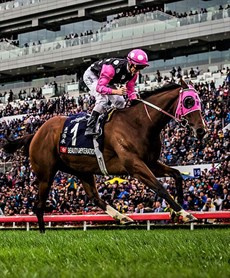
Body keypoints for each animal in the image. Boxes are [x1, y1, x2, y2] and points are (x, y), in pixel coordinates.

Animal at [2, 82, 207, 232]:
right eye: (189, 101)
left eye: (200, 101)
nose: (201, 130)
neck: (139, 123)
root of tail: (36, 133)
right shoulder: (134, 165)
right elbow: (160, 187)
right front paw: (186, 214)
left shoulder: (150, 162)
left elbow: (177, 175)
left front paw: (176, 212)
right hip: (46, 174)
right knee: (38, 205)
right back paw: (43, 232)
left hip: (82, 170)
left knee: (94, 197)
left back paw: (124, 218)